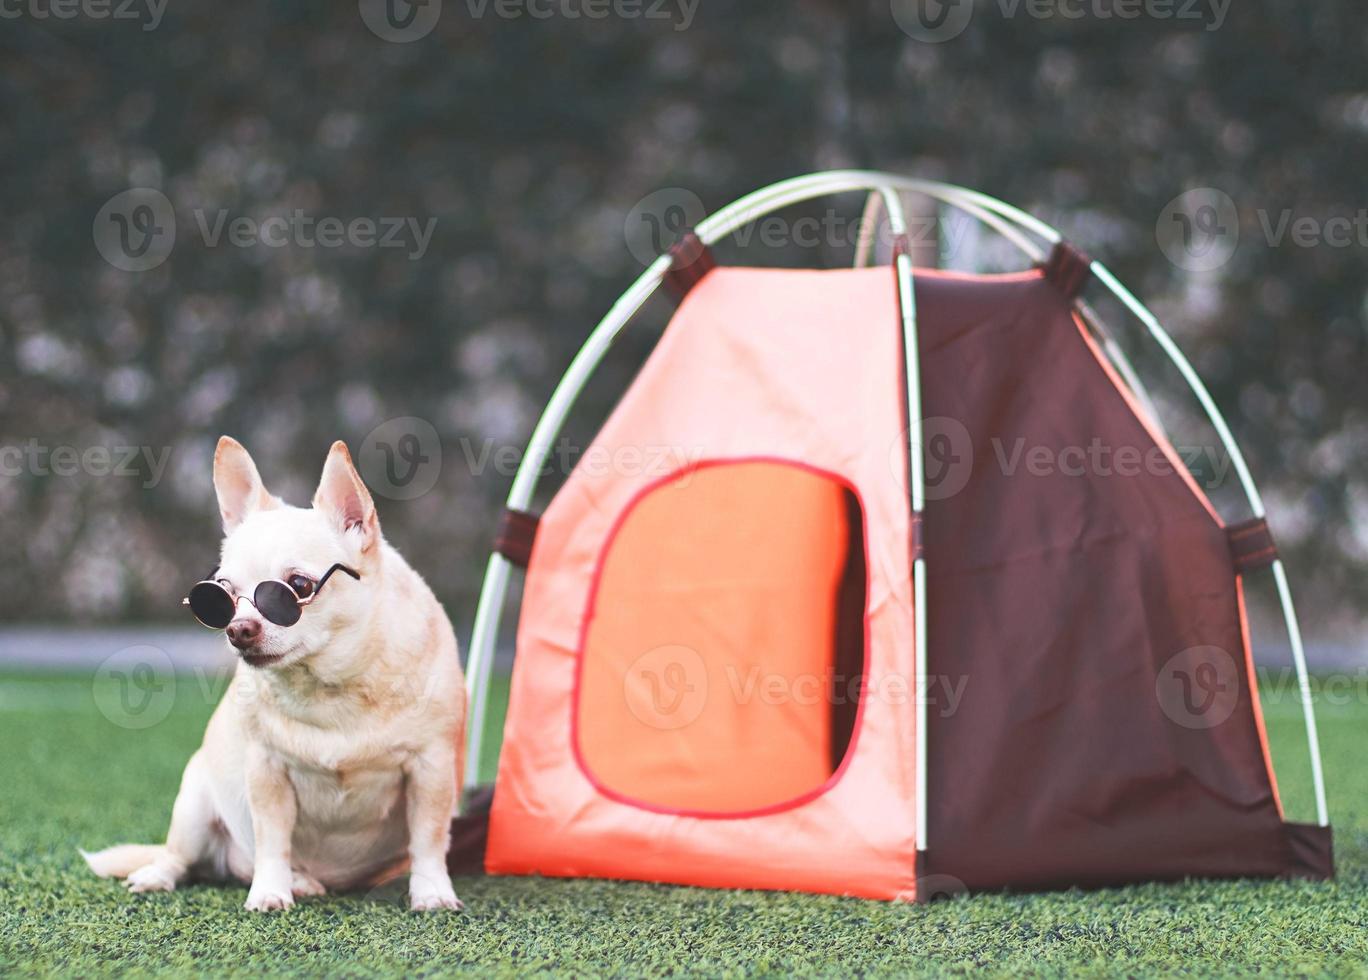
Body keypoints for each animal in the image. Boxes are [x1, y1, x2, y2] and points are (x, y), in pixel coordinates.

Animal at [88, 435, 470, 908]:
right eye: (221, 595)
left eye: (298, 587)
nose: (238, 628)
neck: (330, 685)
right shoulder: (266, 771)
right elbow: (272, 840)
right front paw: (270, 892)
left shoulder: (430, 770)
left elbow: (429, 839)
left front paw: (432, 891)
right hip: (195, 802)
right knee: (180, 856)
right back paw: (170, 875)